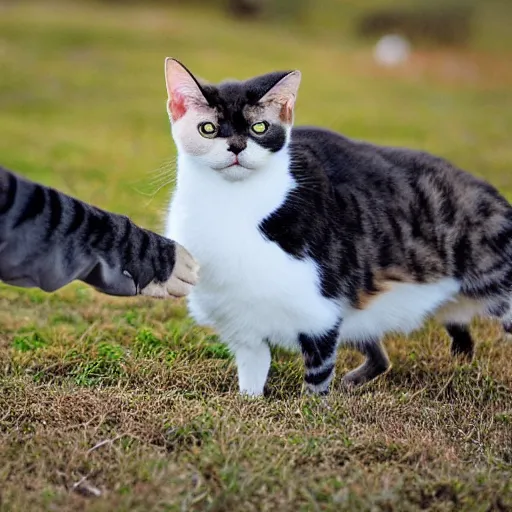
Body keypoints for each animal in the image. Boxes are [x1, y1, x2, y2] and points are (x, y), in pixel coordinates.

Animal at [163, 59, 512, 396]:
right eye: (208, 129)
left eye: (259, 128)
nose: (236, 147)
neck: (232, 205)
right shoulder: (244, 325)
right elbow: (252, 373)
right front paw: (249, 402)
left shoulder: (319, 314)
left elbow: (317, 380)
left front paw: (312, 409)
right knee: (380, 357)